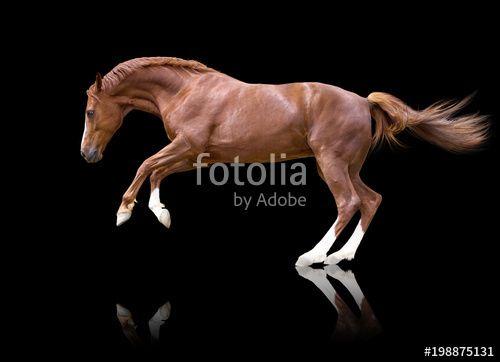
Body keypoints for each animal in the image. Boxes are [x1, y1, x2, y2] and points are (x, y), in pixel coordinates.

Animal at [81, 56, 488, 266]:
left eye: (88, 112)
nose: (87, 154)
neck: (187, 91)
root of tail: (364, 102)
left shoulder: (187, 145)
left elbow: (145, 165)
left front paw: (123, 212)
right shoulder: (199, 156)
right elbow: (156, 171)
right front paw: (161, 214)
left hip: (332, 163)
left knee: (349, 202)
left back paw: (313, 255)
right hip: (345, 166)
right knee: (371, 200)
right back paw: (342, 256)